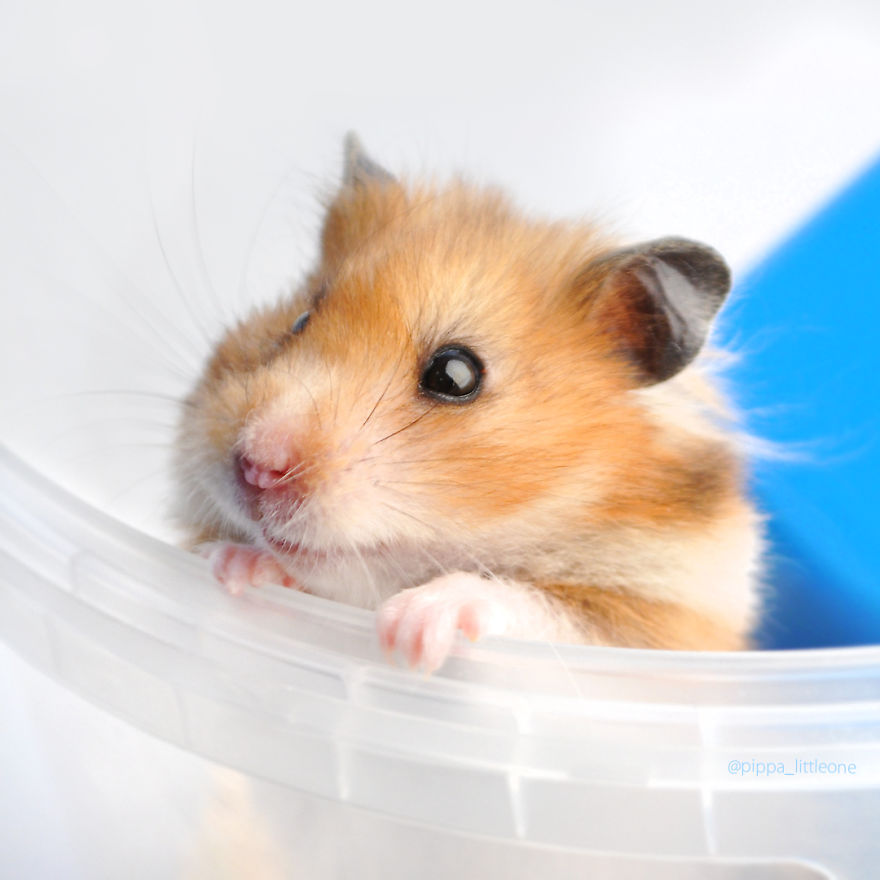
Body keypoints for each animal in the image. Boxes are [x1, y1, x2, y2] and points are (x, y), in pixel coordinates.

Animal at [174, 133, 763, 671]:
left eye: (455, 376)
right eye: (298, 321)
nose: (256, 467)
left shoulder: (656, 634)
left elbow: (526, 603)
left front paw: (411, 632)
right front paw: (232, 566)